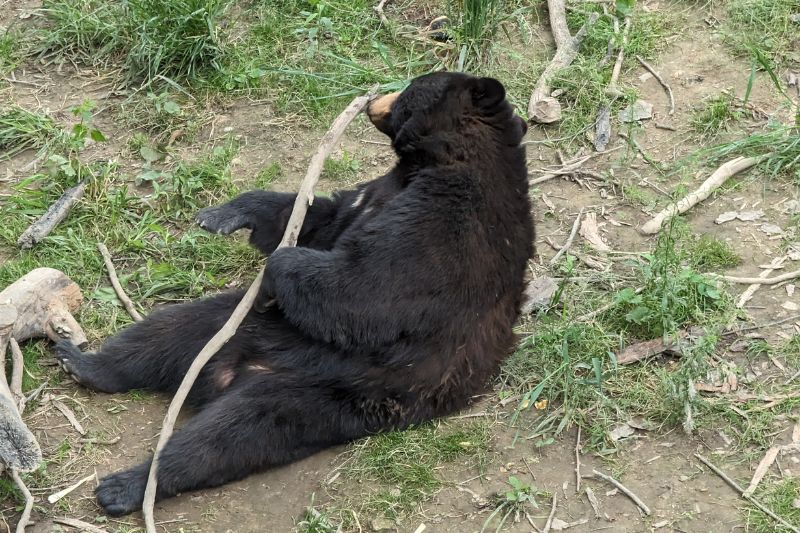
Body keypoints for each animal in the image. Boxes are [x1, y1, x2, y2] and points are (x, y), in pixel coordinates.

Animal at [53, 71, 534, 516]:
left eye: (412, 85)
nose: (373, 98)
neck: (435, 160)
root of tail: (240, 372)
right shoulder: (375, 191)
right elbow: (320, 216)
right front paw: (227, 213)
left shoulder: (453, 222)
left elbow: (372, 285)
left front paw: (277, 268)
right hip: (245, 329)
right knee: (170, 332)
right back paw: (83, 362)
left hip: (336, 394)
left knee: (235, 434)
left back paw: (127, 485)